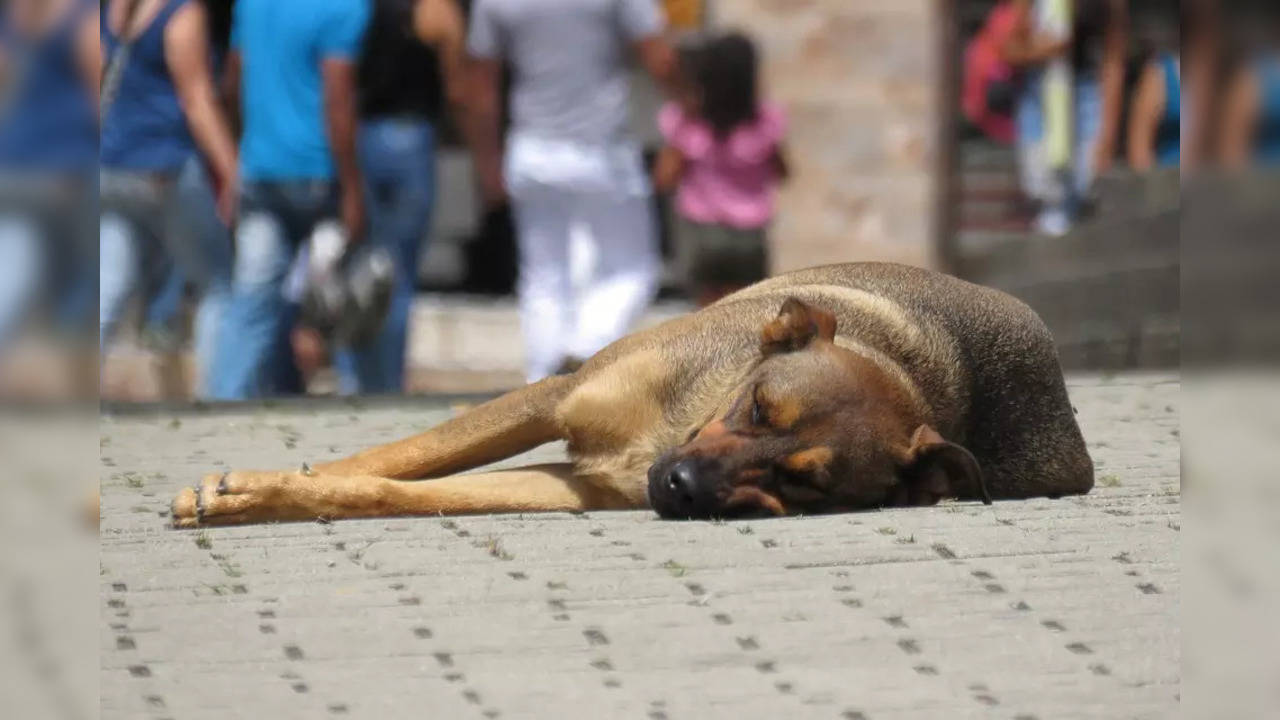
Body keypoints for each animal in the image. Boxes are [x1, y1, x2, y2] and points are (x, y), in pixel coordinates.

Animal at [167, 260, 1090, 525]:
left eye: (804, 482)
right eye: (759, 408)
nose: (678, 487)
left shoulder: (575, 487)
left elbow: (388, 491)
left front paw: (262, 496)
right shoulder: (554, 397)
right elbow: (398, 456)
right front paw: (251, 488)